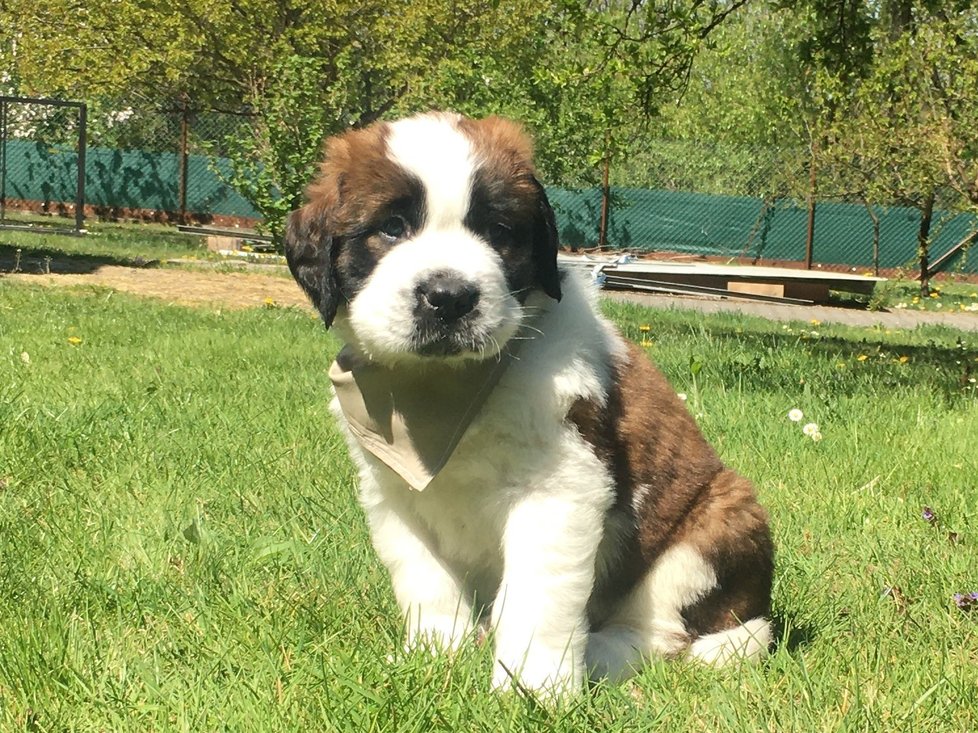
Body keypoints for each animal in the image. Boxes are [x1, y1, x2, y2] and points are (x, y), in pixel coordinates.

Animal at [282, 111, 772, 696]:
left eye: (498, 232)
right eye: (392, 228)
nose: (449, 297)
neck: (443, 388)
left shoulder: (558, 488)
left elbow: (539, 598)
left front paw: (533, 688)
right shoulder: (392, 493)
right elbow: (425, 581)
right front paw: (433, 657)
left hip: (716, 520)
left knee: (666, 630)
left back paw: (599, 657)